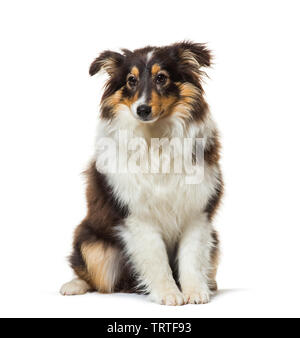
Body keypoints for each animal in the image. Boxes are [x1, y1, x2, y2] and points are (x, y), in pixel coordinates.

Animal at [60, 41, 223, 304]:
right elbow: (156, 259)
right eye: (131, 80)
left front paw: (194, 292)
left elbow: (192, 256)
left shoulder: (197, 211)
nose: (142, 109)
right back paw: (73, 285)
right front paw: (169, 293)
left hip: (215, 238)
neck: (155, 136)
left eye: (161, 78)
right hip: (91, 243)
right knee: (95, 277)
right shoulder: (137, 215)